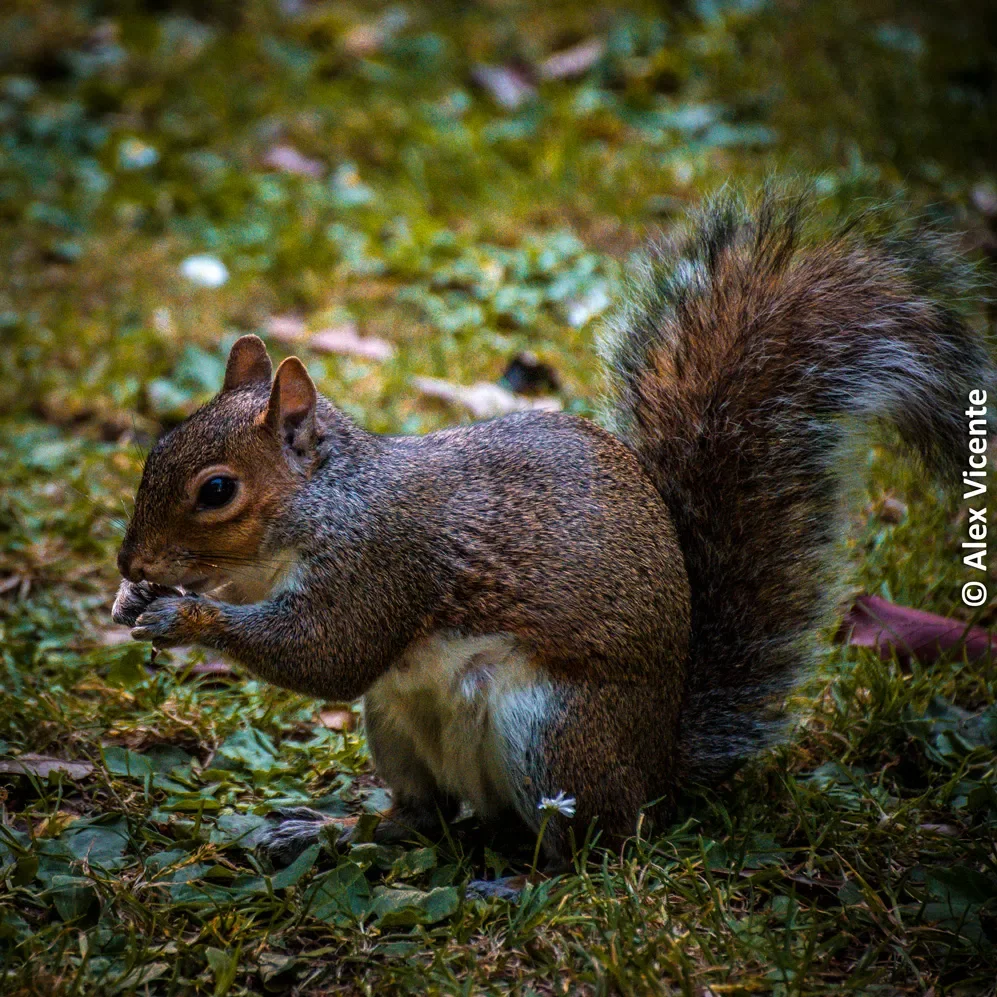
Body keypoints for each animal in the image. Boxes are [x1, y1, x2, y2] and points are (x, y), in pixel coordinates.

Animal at [112, 190, 995, 873]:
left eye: (217, 490)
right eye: (155, 447)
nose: (128, 559)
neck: (330, 502)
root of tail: (654, 770)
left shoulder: (384, 564)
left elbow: (330, 656)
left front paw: (182, 614)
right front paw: (131, 601)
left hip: (550, 736)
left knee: (593, 847)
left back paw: (514, 879)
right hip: (396, 723)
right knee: (424, 819)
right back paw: (326, 828)